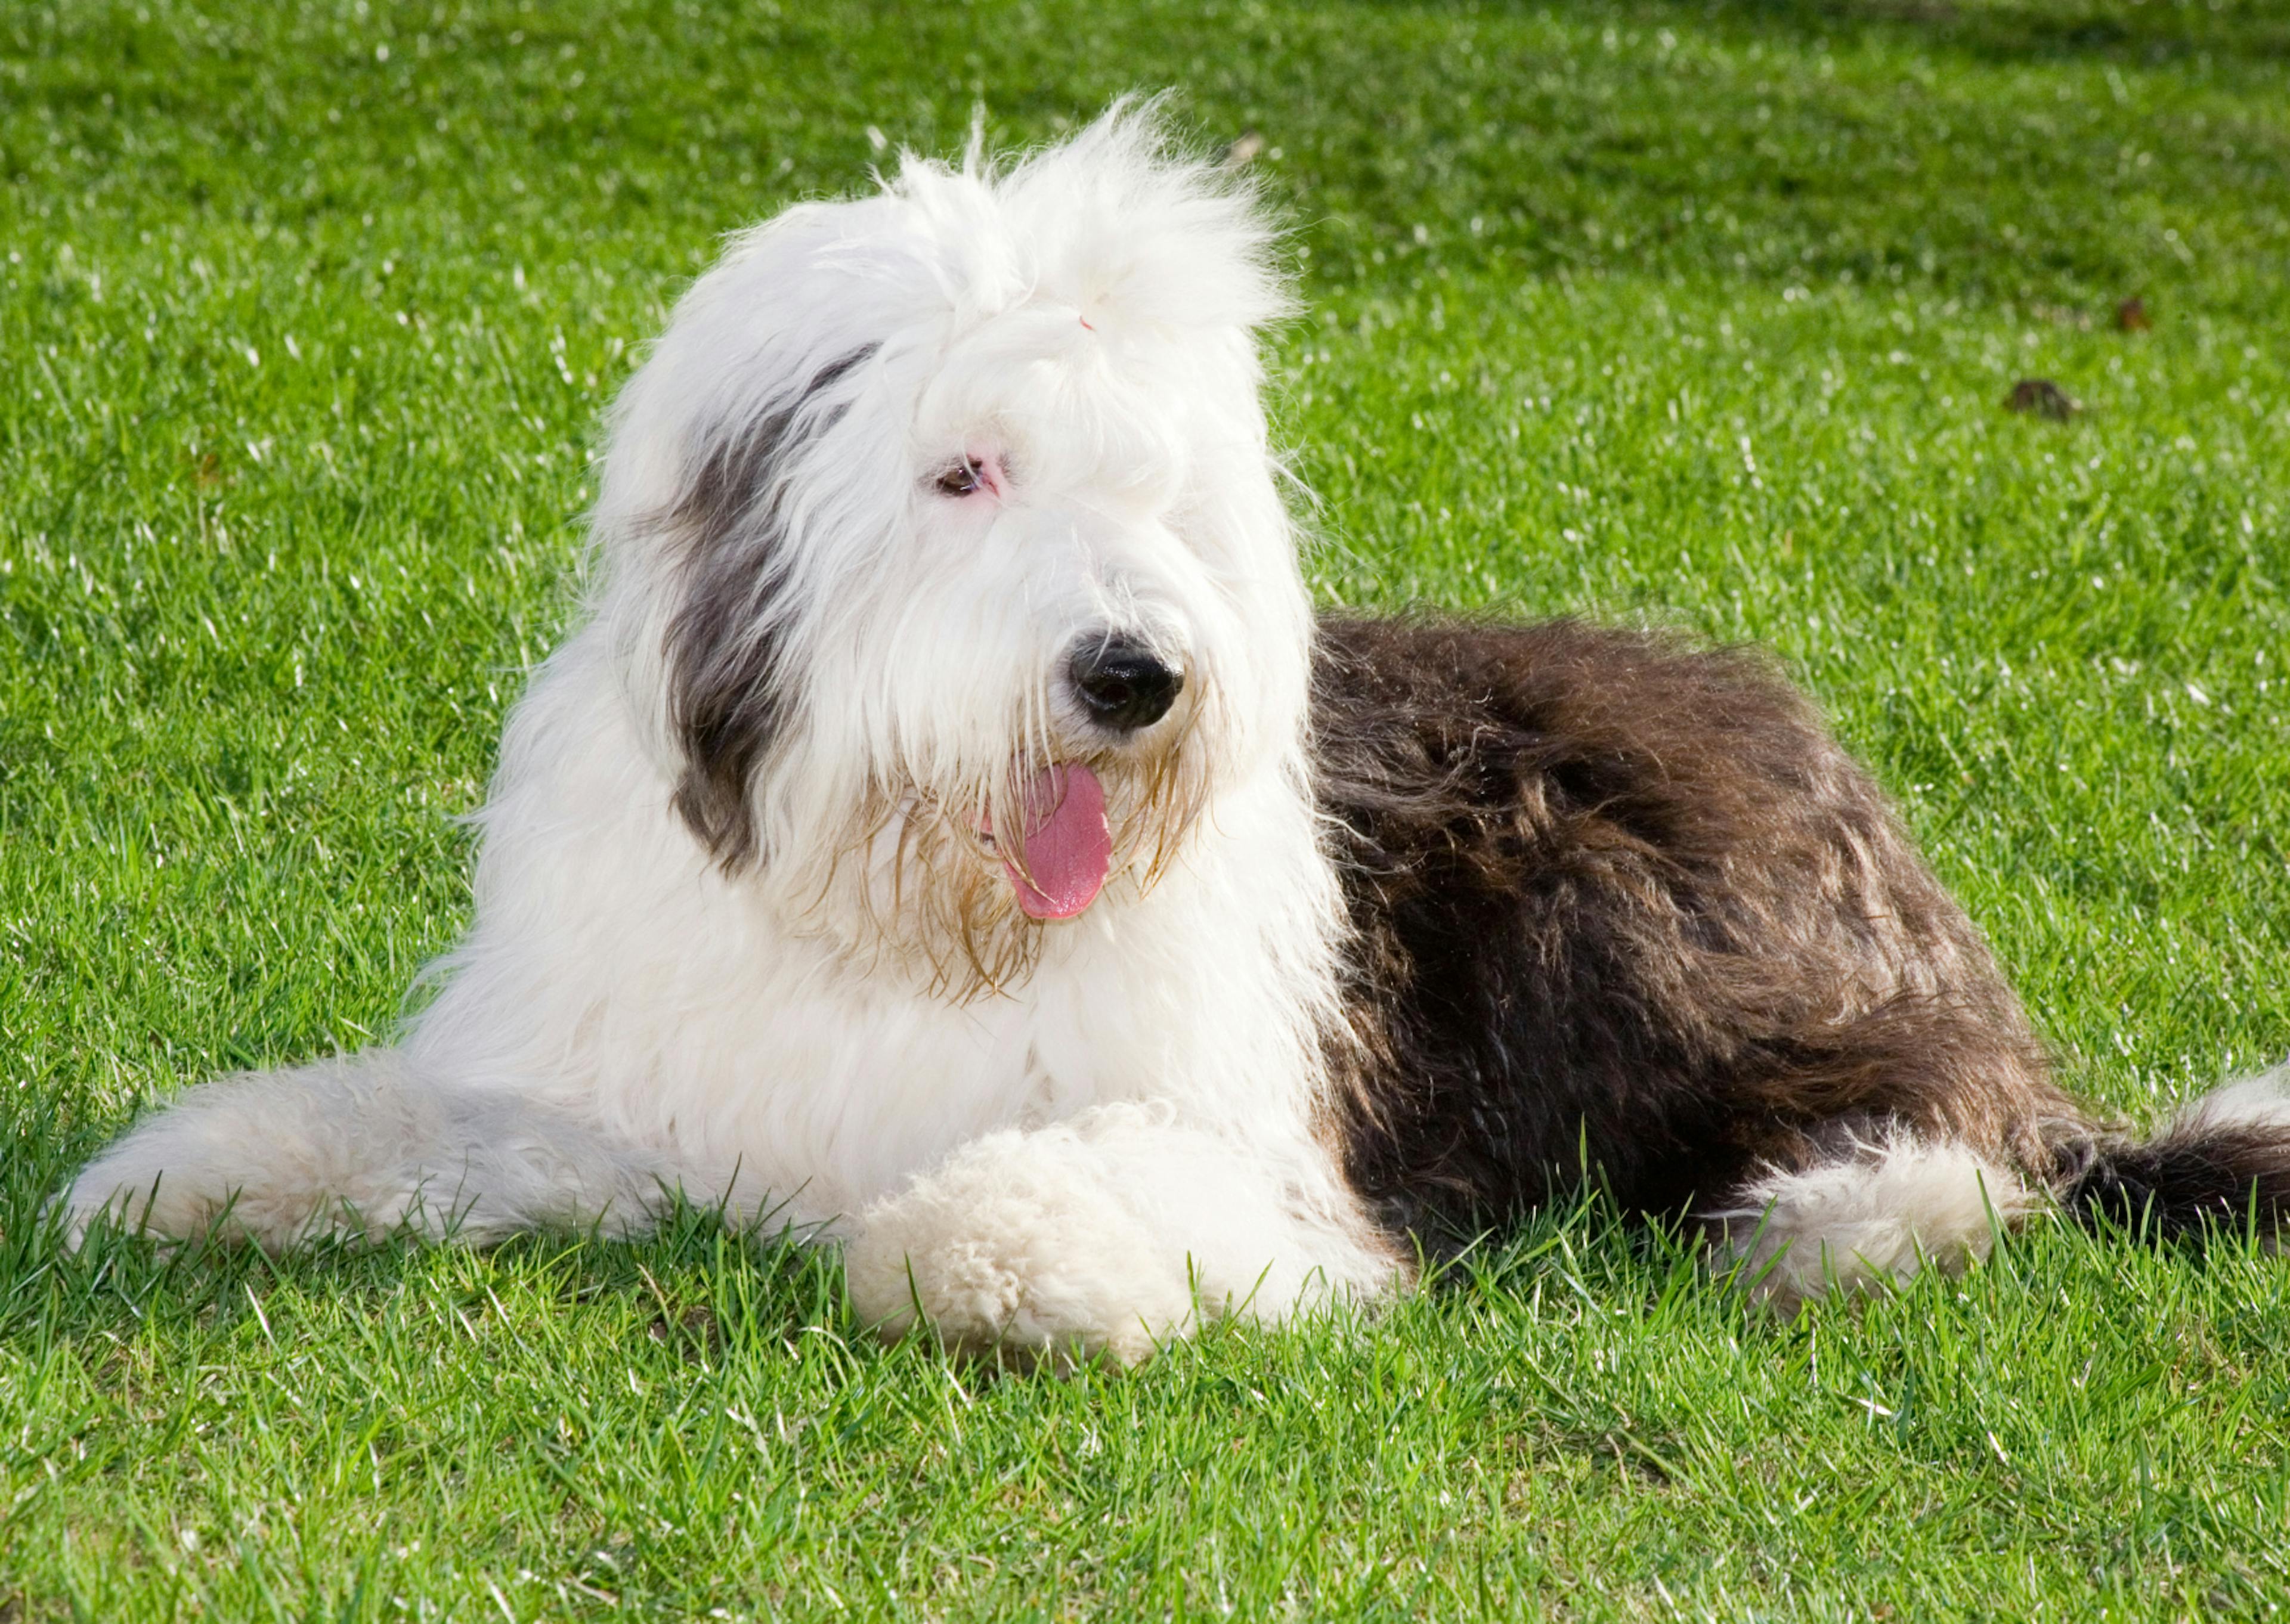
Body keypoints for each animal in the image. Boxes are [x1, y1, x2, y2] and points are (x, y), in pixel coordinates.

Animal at [67, 107, 2290, 1365]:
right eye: (964, 472)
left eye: (1165, 486)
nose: (1131, 673)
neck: (913, 911)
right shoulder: (639, 1069)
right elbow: (446, 1124)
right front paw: (206, 1167)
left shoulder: (1258, 1139)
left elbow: (1035, 1202)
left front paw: (995, 1248)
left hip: (1666, 921)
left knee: (1974, 1152)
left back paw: (1832, 1224)